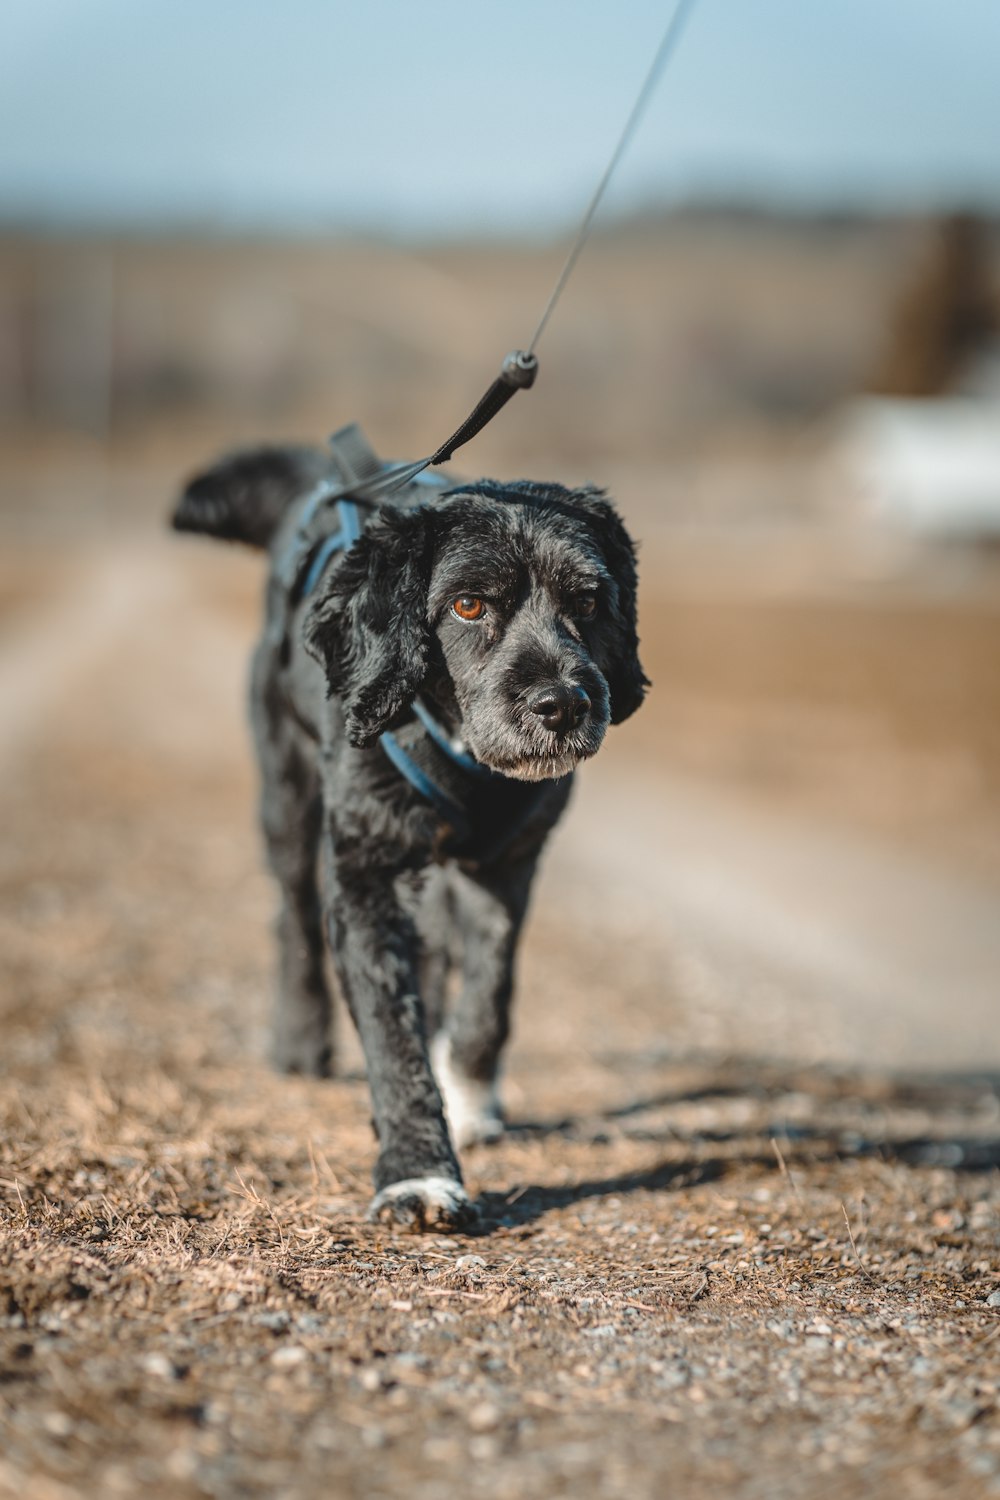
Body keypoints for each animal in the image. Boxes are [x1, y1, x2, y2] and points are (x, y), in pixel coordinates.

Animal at [173, 444, 650, 1230]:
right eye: (467, 605)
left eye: (586, 600)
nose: (562, 704)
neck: (459, 752)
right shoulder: (363, 873)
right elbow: (391, 1036)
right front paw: (418, 1175)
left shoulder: (507, 865)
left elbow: (489, 998)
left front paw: (468, 1096)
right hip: (288, 802)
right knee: (294, 918)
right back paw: (301, 1041)